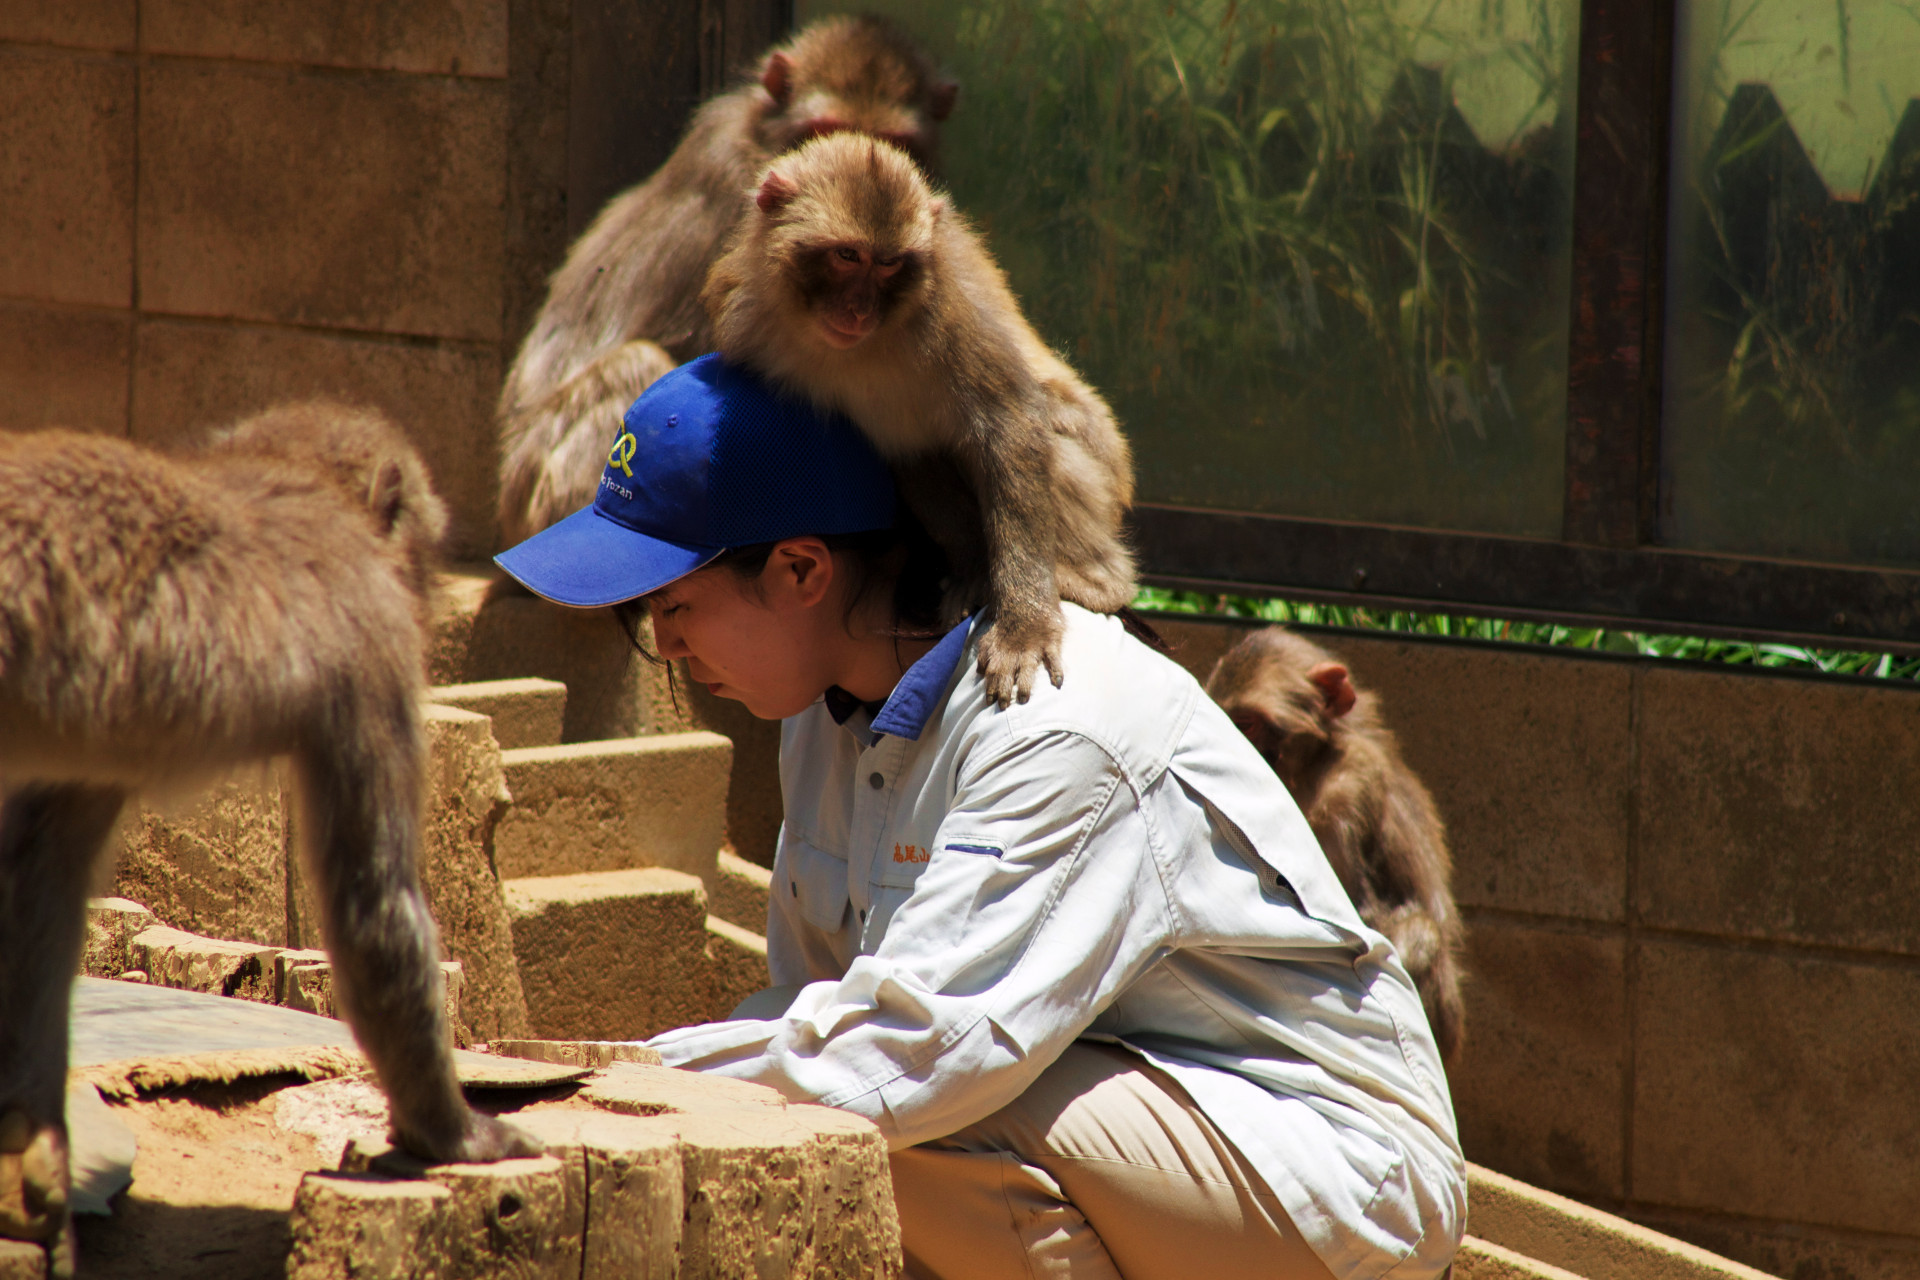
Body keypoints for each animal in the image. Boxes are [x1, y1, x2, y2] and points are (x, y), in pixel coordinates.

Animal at [0, 403, 538, 1275]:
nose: (425, 586)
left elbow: (38, 868)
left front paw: (34, 1142)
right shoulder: (377, 647)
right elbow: (373, 906)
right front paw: (452, 1134)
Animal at [703, 132, 1138, 708]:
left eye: (889, 264)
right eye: (847, 255)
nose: (860, 308)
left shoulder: (949, 307)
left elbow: (1010, 422)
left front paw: (1023, 627)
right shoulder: (743, 316)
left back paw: (1092, 580)